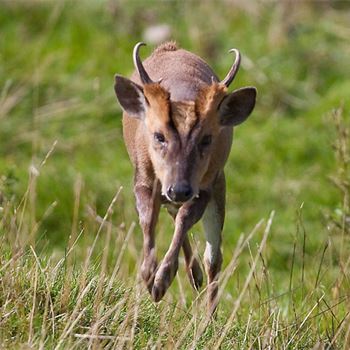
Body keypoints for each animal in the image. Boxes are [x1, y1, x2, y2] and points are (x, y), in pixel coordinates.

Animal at [115, 41, 258, 314]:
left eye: (207, 139)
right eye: (158, 136)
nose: (179, 189)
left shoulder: (206, 185)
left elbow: (185, 220)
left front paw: (161, 281)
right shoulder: (142, 177)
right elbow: (148, 218)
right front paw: (149, 275)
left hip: (218, 184)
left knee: (214, 257)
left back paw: (208, 311)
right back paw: (194, 276)